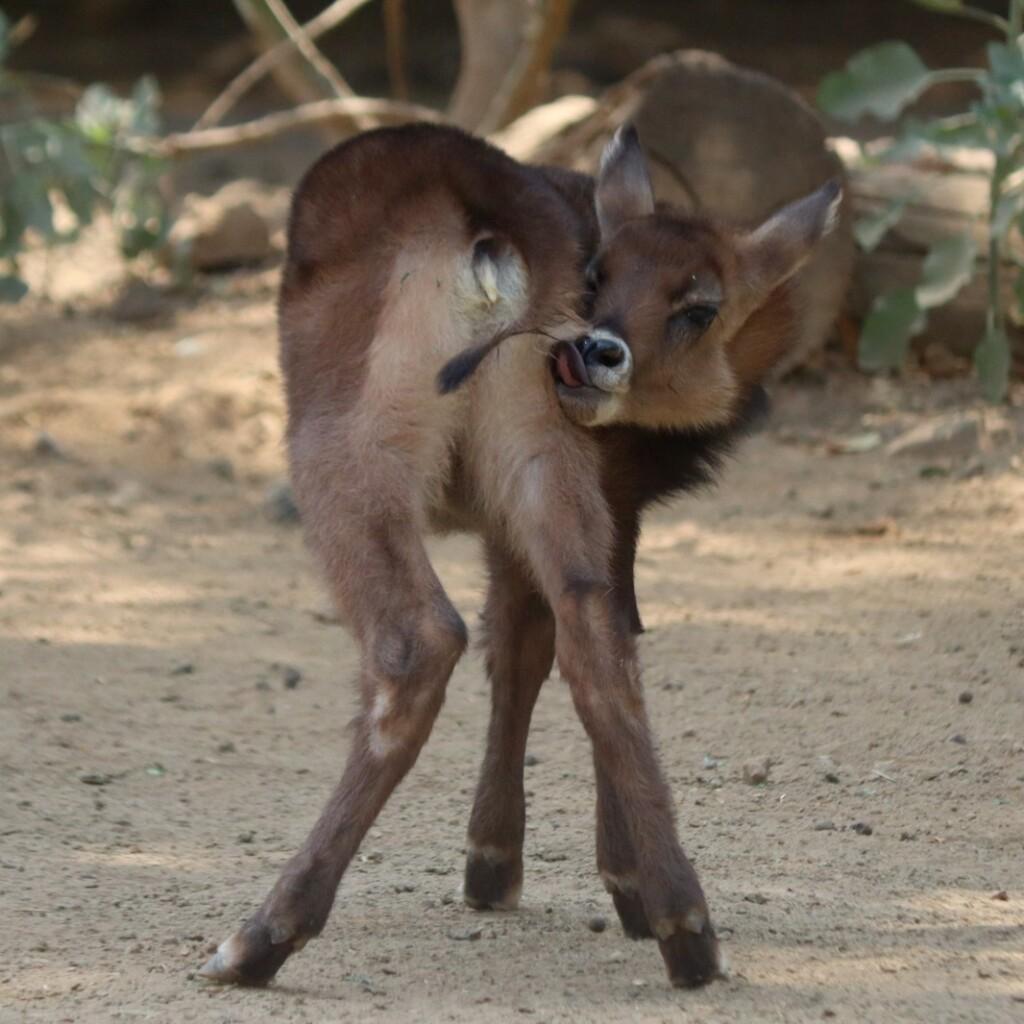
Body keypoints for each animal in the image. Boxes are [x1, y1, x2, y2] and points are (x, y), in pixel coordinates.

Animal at [199, 121, 839, 991]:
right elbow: (541, 648)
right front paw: (556, 873)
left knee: (419, 642)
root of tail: (486, 222)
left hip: (347, 455)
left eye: (701, 307)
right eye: (601, 272)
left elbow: (510, 648)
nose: (598, 351)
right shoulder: (592, 508)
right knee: (596, 639)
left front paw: (502, 866)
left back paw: (259, 938)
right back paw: (688, 931)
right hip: (539, 458)